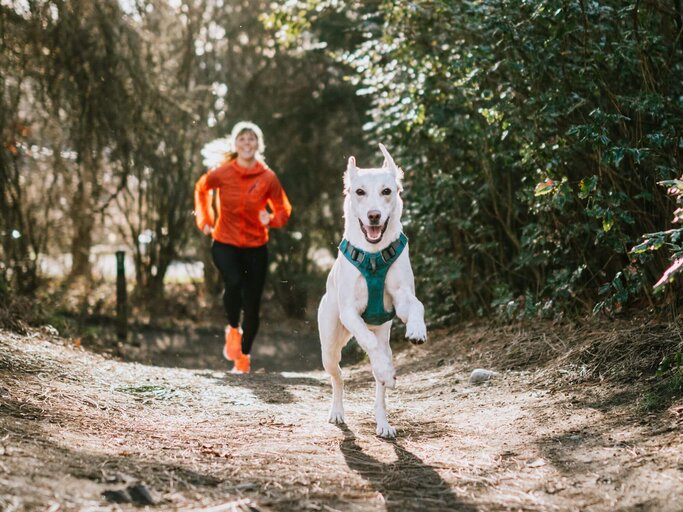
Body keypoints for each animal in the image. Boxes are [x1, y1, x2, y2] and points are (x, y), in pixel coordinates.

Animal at [316, 143, 424, 436]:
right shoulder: (350, 313)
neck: (374, 255)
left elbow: (417, 305)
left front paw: (417, 329)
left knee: (379, 384)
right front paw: (384, 367)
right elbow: (367, 340)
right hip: (329, 347)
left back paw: (383, 421)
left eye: (387, 191)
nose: (373, 215)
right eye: (359, 192)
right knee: (339, 377)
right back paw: (338, 411)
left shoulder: (402, 297)